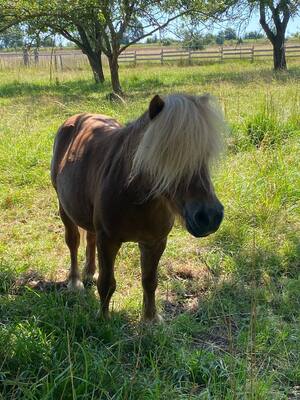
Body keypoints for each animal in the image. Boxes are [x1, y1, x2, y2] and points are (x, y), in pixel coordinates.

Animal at [51, 93, 225, 322]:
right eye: (165, 153)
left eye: (205, 153)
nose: (209, 216)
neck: (136, 197)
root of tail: (78, 117)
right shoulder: (108, 241)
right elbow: (107, 283)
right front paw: (103, 319)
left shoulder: (155, 242)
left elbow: (149, 281)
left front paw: (151, 319)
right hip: (65, 208)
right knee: (73, 242)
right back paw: (75, 281)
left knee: (90, 237)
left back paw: (89, 272)